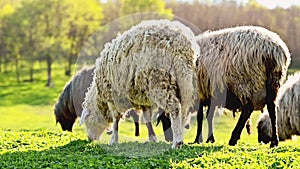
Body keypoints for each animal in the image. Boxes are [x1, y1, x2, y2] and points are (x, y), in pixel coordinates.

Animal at [79, 19, 199, 148]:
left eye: (87, 120)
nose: (90, 139)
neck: (99, 98)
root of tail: (182, 45)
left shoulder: (112, 97)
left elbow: (116, 119)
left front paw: (113, 140)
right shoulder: (144, 97)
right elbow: (147, 118)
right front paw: (152, 138)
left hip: (159, 81)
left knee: (175, 107)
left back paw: (177, 142)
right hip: (186, 82)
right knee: (184, 111)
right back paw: (179, 137)